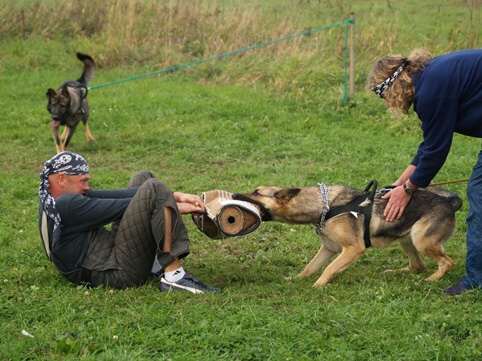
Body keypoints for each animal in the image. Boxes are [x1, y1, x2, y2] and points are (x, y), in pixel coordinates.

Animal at [233, 183, 464, 286]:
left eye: (256, 192)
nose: (234, 194)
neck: (324, 206)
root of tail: (449, 203)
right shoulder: (329, 248)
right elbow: (310, 267)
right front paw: (297, 279)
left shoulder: (352, 249)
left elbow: (328, 269)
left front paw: (317, 286)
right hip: (407, 240)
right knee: (418, 265)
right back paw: (397, 272)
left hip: (421, 240)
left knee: (447, 263)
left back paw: (433, 279)